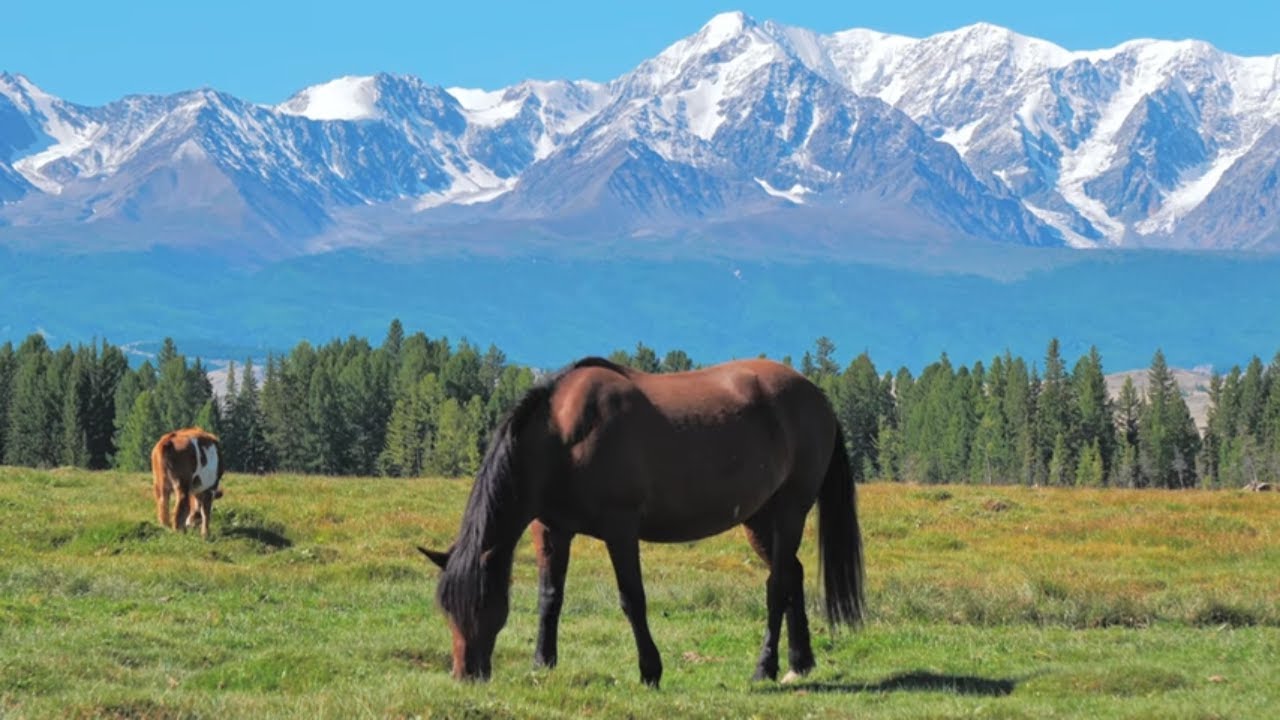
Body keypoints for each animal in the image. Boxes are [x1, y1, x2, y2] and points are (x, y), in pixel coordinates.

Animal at [420, 357, 865, 687]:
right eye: (446, 608)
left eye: (481, 604)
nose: (465, 674)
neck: (564, 436)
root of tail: (816, 395)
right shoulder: (550, 529)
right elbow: (550, 596)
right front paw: (542, 662)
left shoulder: (620, 528)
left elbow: (632, 599)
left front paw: (650, 670)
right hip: (759, 518)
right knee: (792, 575)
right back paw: (799, 662)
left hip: (791, 509)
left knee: (777, 586)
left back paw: (765, 667)